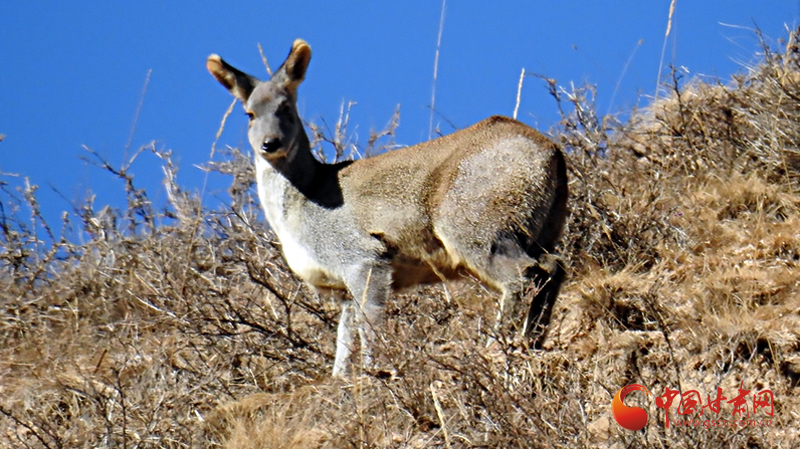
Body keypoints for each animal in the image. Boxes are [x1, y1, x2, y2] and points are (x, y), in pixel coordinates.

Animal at [206, 39, 568, 377]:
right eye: (249, 114)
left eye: (286, 108)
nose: (270, 143)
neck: (305, 198)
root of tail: (552, 151)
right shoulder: (343, 287)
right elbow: (344, 339)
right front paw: (341, 380)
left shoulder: (363, 256)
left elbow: (370, 325)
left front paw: (375, 372)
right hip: (541, 228)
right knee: (552, 267)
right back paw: (532, 341)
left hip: (474, 226)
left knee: (523, 274)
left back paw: (497, 348)